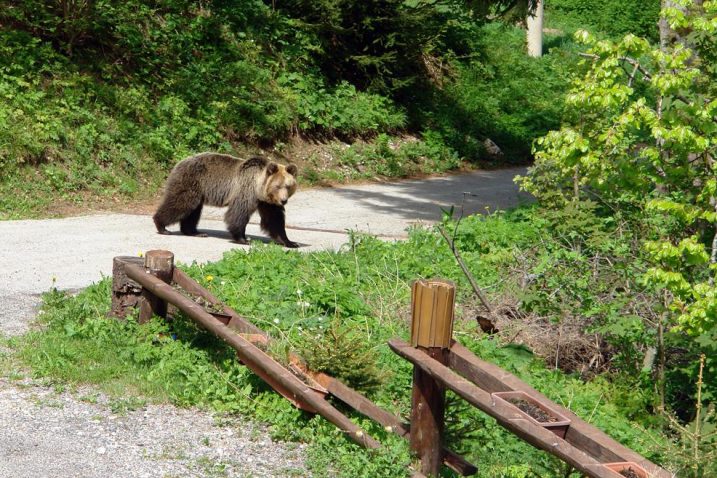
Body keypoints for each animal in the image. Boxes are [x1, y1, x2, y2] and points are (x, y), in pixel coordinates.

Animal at [154, 153, 300, 248]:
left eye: (288, 186)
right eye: (277, 186)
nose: (283, 201)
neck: (259, 188)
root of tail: (180, 162)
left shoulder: (267, 202)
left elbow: (274, 220)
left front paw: (290, 242)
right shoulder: (246, 191)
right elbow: (238, 214)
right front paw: (243, 239)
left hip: (197, 190)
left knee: (193, 211)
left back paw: (195, 232)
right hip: (191, 182)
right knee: (181, 204)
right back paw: (162, 226)